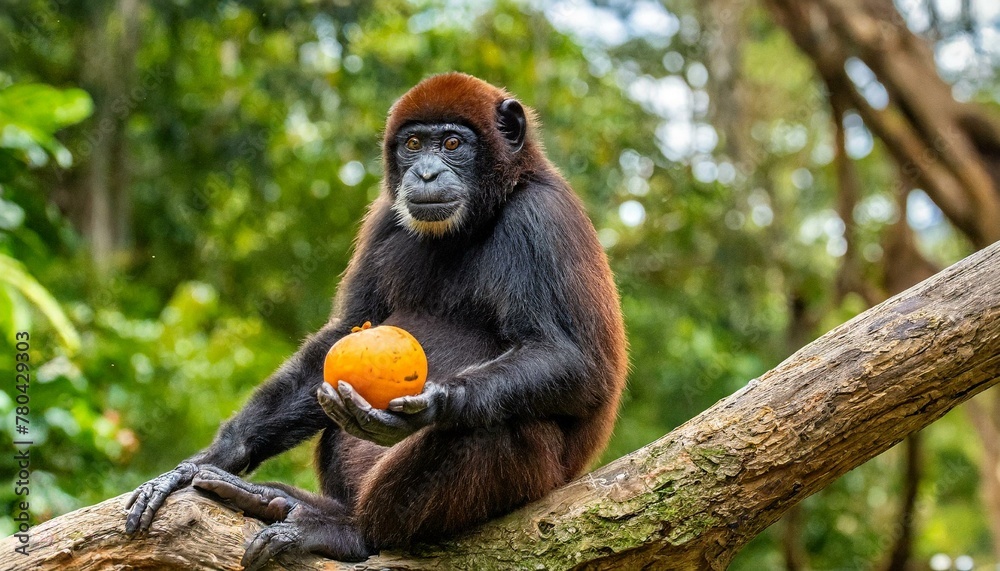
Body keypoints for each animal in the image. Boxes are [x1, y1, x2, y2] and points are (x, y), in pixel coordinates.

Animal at [124, 72, 627, 570]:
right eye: (413, 144)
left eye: (451, 143)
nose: (425, 172)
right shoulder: (386, 217)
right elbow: (342, 331)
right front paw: (202, 462)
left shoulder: (541, 219)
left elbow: (573, 362)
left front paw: (435, 402)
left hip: (534, 484)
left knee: (491, 427)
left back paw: (345, 530)